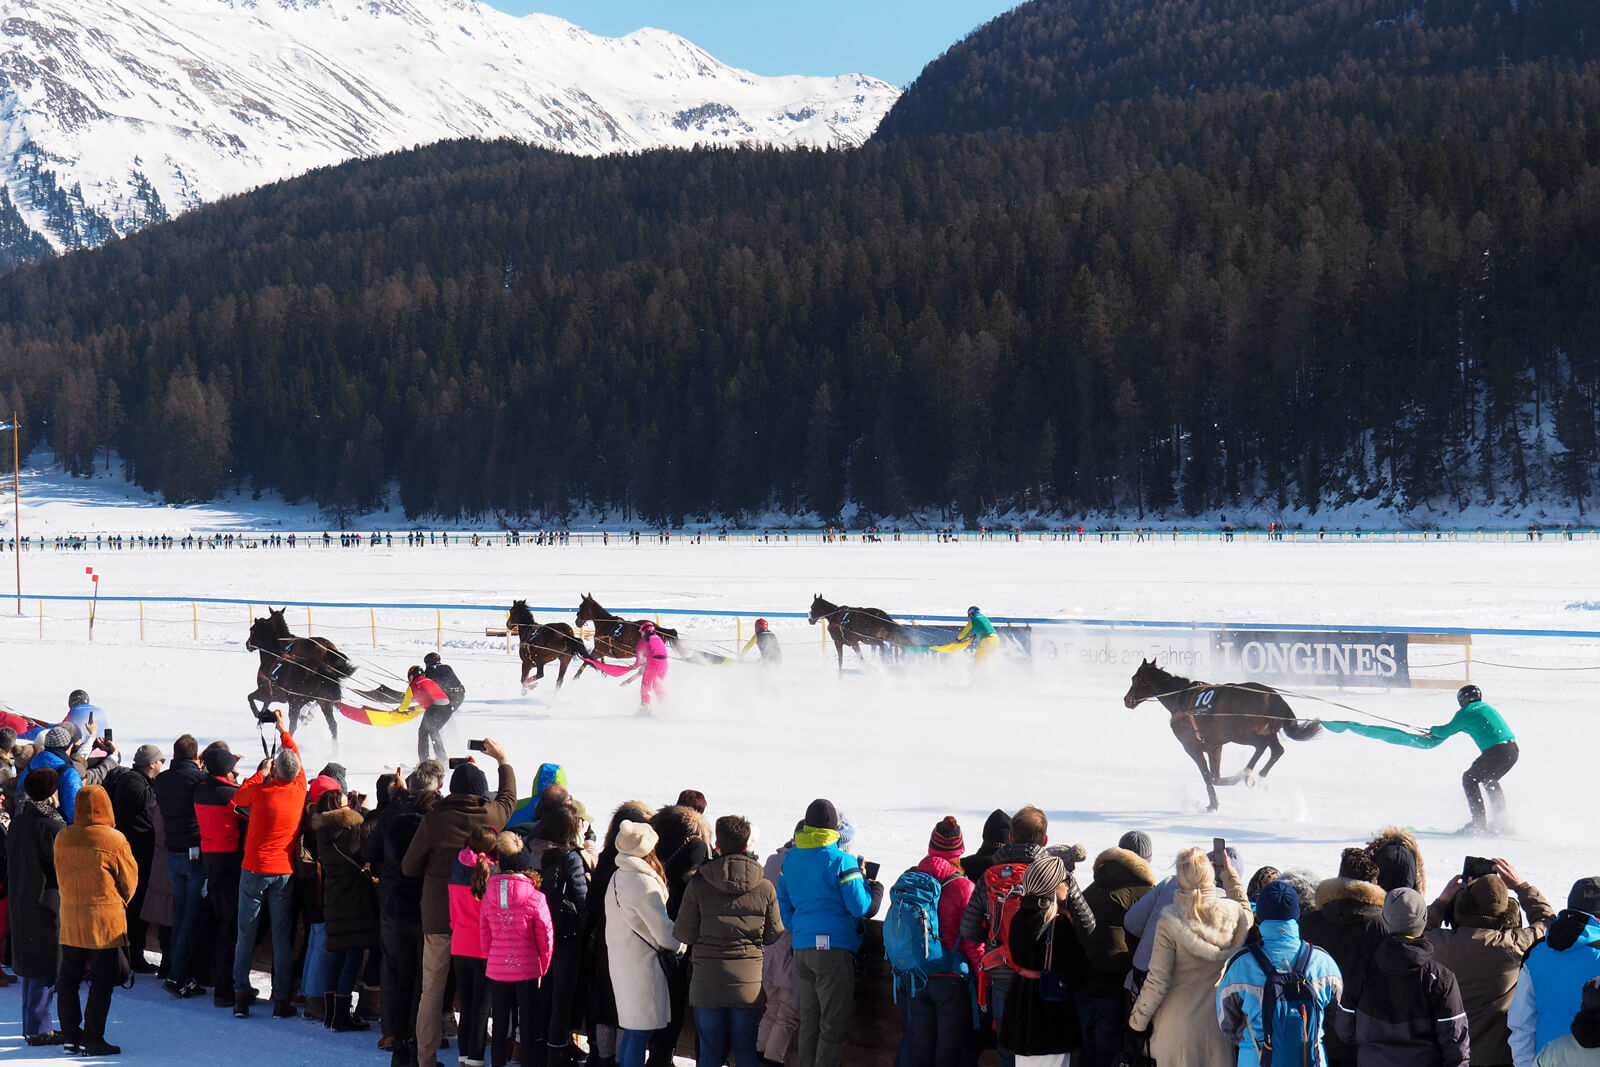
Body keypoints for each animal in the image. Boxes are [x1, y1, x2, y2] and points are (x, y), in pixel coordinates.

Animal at [244, 604, 355, 748]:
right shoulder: (272, 695)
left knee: (294, 724)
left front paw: (258, 715)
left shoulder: (264, 692)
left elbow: (251, 698)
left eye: (252, 630)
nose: (247, 644)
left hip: (295, 702)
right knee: (332, 724)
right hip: (323, 700)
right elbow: (264, 704)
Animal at [1120, 655, 1318, 812]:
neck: (1181, 698)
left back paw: (1245, 775)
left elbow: (1208, 777)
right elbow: (1215, 777)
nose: (1126, 700)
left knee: (1262, 746)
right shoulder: (1214, 747)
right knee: (1277, 750)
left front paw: (1213, 804)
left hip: (1241, 733)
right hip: (1265, 732)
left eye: (1135, 679)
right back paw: (1258, 775)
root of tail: (1273, 696)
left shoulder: (1192, 747)